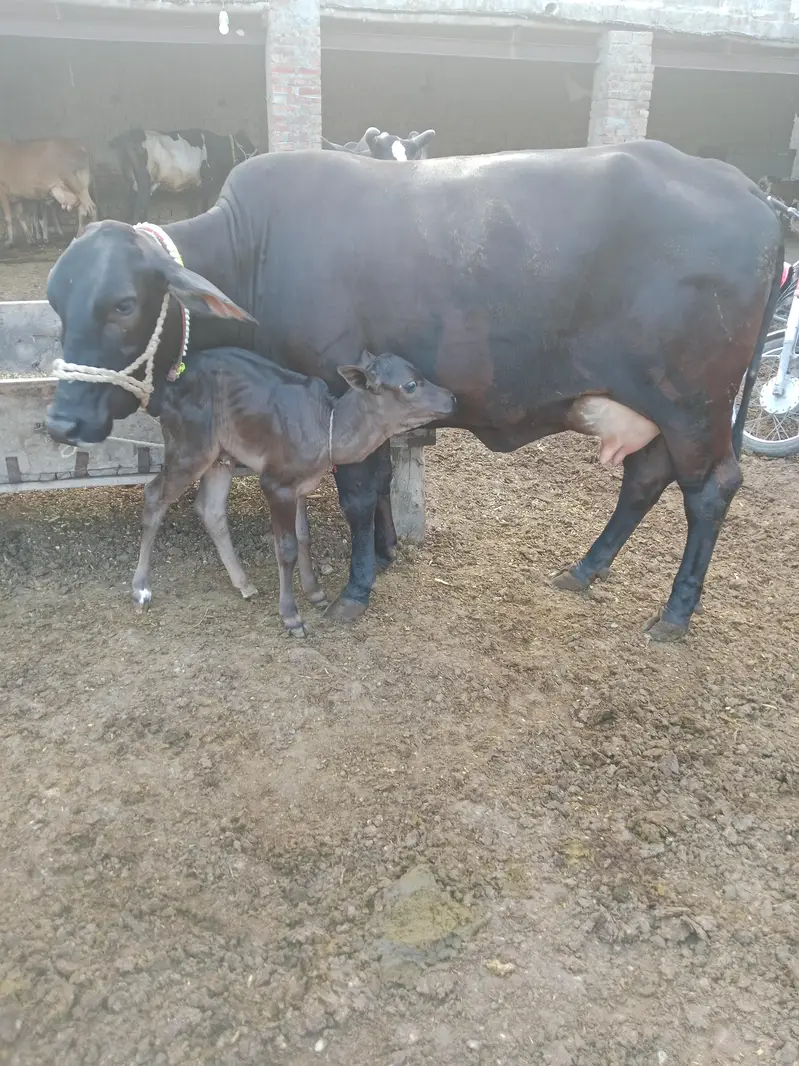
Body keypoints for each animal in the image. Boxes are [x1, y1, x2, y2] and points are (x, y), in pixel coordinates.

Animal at [44, 140, 782, 642]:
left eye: (121, 304)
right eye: (55, 298)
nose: (61, 421)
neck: (254, 248)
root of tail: (749, 191)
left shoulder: (339, 384)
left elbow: (356, 491)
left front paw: (355, 587)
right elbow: (370, 488)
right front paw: (386, 552)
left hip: (694, 405)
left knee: (709, 490)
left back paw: (675, 612)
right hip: (661, 408)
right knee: (645, 477)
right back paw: (584, 568)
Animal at [110, 128, 258, 223]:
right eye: (247, 145)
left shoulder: (193, 188)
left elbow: (192, 212)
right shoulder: (206, 184)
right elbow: (204, 209)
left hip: (133, 185)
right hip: (144, 184)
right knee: (138, 212)